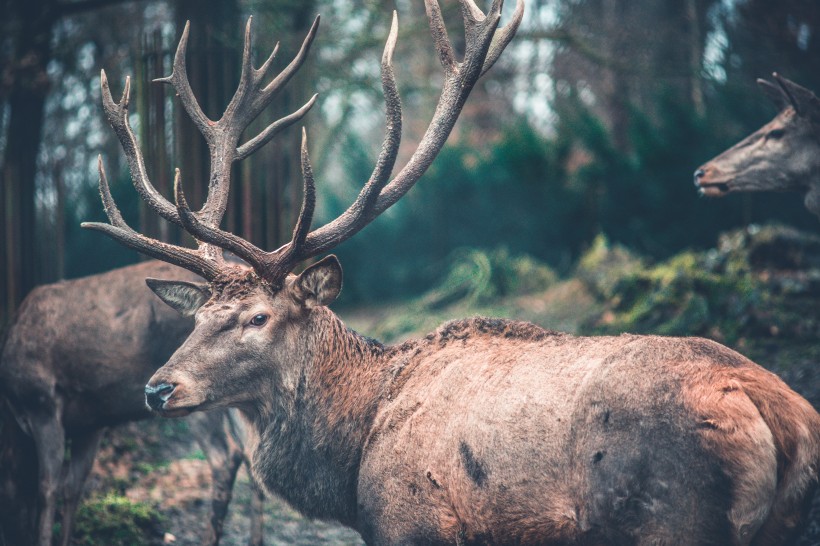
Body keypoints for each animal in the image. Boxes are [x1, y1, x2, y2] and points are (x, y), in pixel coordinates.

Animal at [0, 260, 262, 544]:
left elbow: (47, 488)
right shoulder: (91, 423)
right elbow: (73, 487)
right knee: (252, 458)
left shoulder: (42, 403)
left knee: (225, 458)